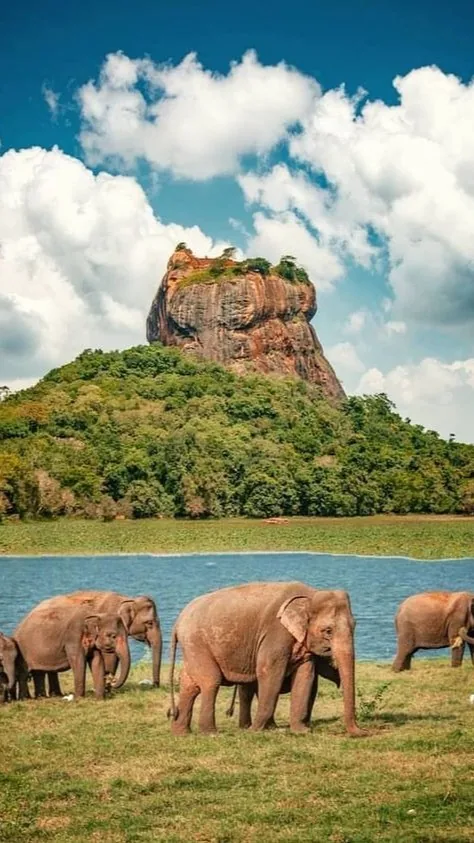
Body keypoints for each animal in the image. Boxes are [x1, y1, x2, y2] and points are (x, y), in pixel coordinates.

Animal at [17, 591, 162, 697]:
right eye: (149, 623)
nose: (154, 686)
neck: (126, 599)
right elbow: (110, 657)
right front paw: (108, 689)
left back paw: (55, 695)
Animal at [169, 581, 365, 736]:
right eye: (328, 631)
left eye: (355, 625)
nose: (364, 732)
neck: (310, 594)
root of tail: (177, 621)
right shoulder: (275, 634)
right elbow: (270, 673)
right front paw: (256, 730)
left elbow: (305, 676)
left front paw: (301, 731)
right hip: (196, 643)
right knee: (211, 681)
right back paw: (211, 733)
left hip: (193, 648)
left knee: (189, 684)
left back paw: (181, 733)